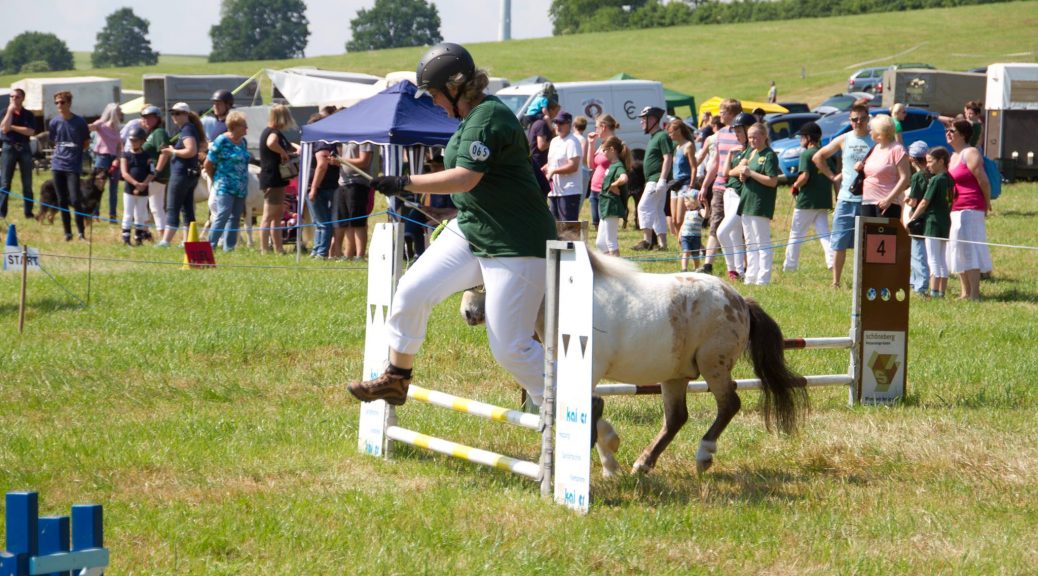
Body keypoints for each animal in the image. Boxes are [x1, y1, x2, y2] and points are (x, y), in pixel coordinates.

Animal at [460, 250, 808, 476]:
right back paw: (643, 463)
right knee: (676, 418)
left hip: (713, 366)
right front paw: (611, 462)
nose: (468, 312)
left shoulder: (589, 369)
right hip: (674, 375)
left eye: (485, 275)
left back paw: (703, 455)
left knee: (729, 404)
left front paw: (606, 461)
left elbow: (590, 409)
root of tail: (740, 301)